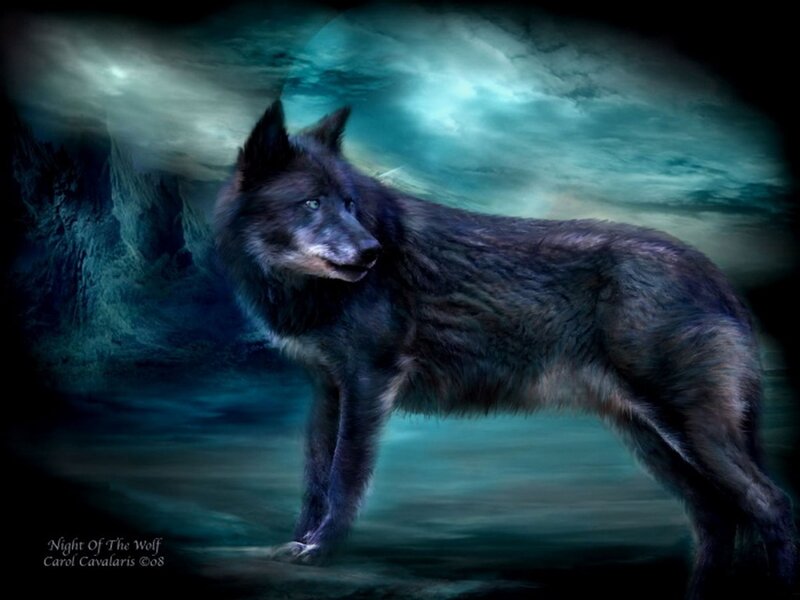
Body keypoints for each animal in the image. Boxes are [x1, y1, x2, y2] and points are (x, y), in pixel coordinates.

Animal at [214, 100, 797, 597]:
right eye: (312, 202)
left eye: (350, 204)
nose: (372, 253)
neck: (302, 290)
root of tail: (715, 275)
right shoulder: (327, 389)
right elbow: (315, 477)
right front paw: (300, 542)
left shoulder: (368, 382)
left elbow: (343, 477)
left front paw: (322, 550)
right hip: (652, 439)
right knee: (716, 517)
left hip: (688, 430)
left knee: (772, 505)